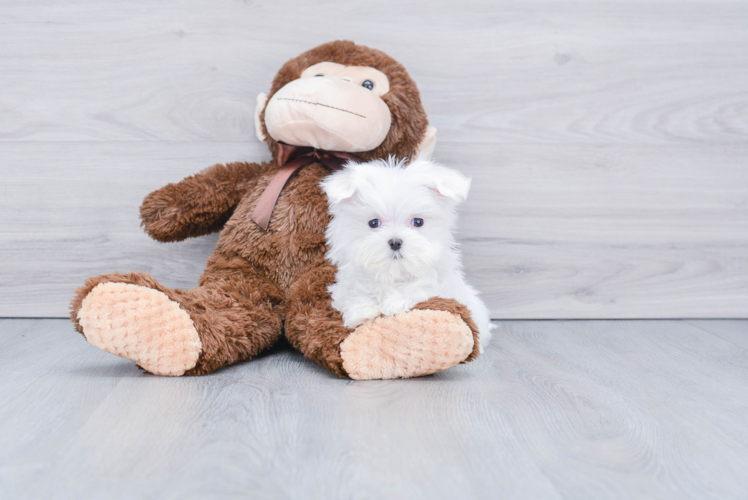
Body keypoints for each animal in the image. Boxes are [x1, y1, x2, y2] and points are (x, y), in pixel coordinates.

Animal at [322, 156, 496, 348]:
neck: (395, 274)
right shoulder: (347, 285)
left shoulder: (439, 286)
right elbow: (356, 294)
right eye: (373, 223)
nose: (395, 242)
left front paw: (394, 303)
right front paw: (362, 311)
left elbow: (419, 289)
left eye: (418, 221)